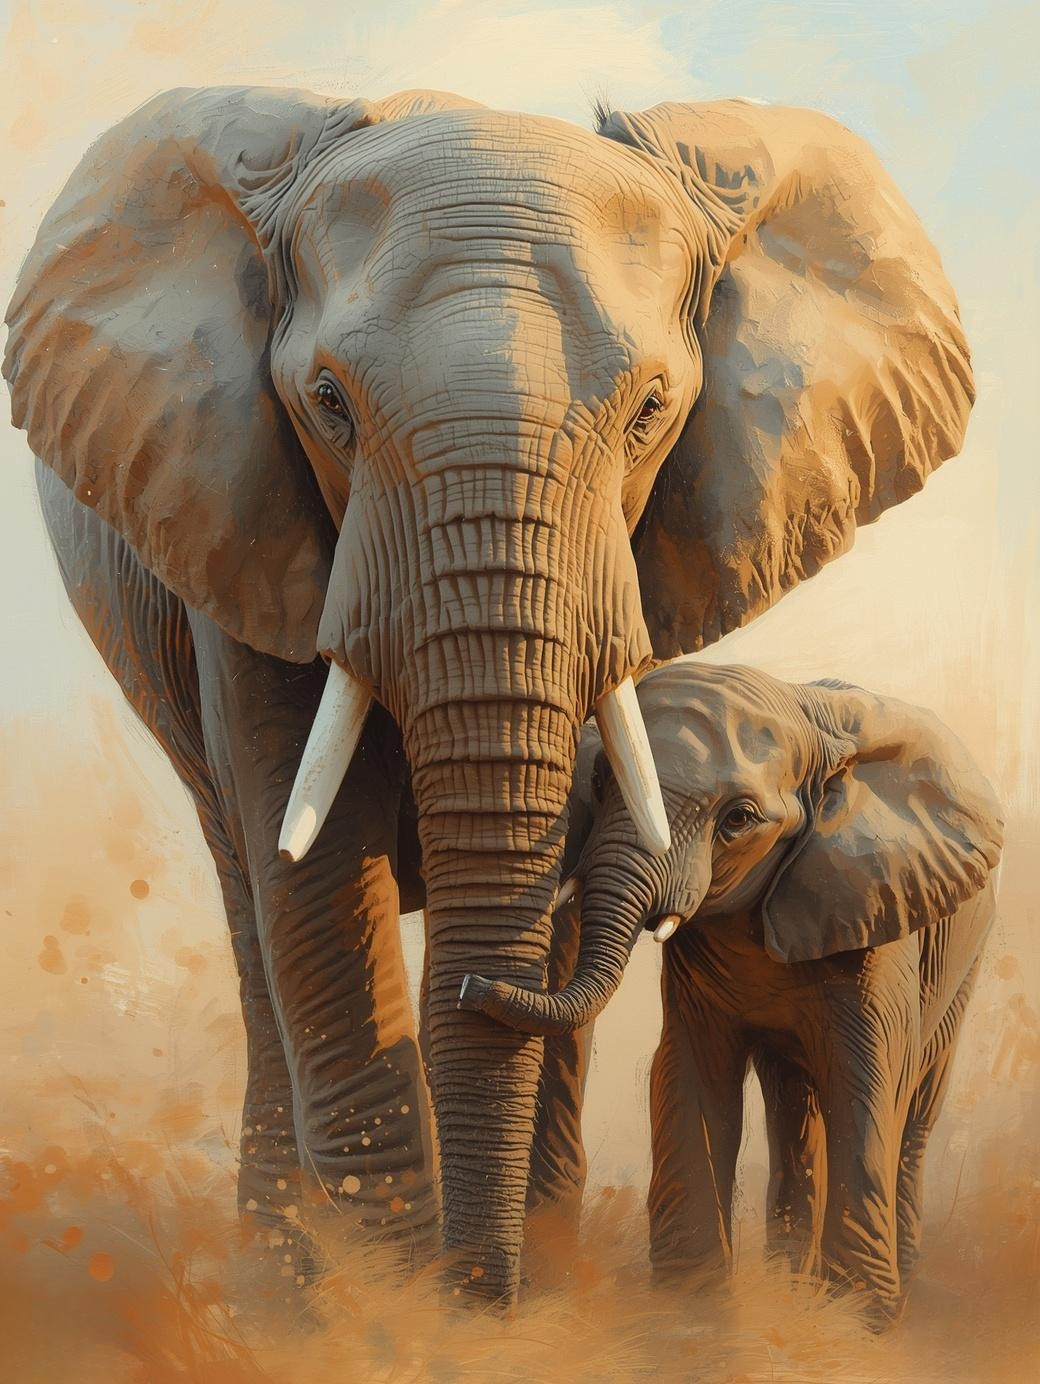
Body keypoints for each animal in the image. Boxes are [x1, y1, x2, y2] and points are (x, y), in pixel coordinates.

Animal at [463, 662, 1004, 1322]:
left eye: (738, 819)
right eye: (599, 780)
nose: (470, 984)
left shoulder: (876, 911)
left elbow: (869, 1076)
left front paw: (856, 1322)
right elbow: (690, 1069)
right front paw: (689, 1308)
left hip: (964, 961)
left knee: (916, 1106)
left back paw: (892, 1293)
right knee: (794, 1105)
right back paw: (789, 1284)